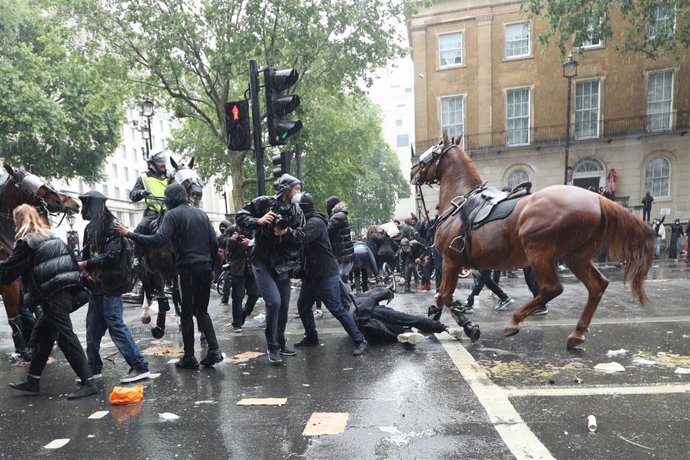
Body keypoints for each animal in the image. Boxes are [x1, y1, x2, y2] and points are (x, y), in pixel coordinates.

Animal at [0, 164, 80, 362]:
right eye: (35, 186)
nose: (72, 202)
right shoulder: (9, 284)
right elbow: (14, 318)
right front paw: (24, 351)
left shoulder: (19, 280)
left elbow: (26, 312)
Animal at [412, 133, 652, 348]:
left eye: (432, 151)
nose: (413, 170)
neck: (459, 202)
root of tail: (597, 198)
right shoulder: (454, 263)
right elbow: (443, 297)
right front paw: (440, 317)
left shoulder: (451, 260)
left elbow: (445, 296)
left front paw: (466, 325)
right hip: (576, 256)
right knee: (597, 285)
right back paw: (577, 332)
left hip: (539, 253)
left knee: (552, 288)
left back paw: (515, 321)